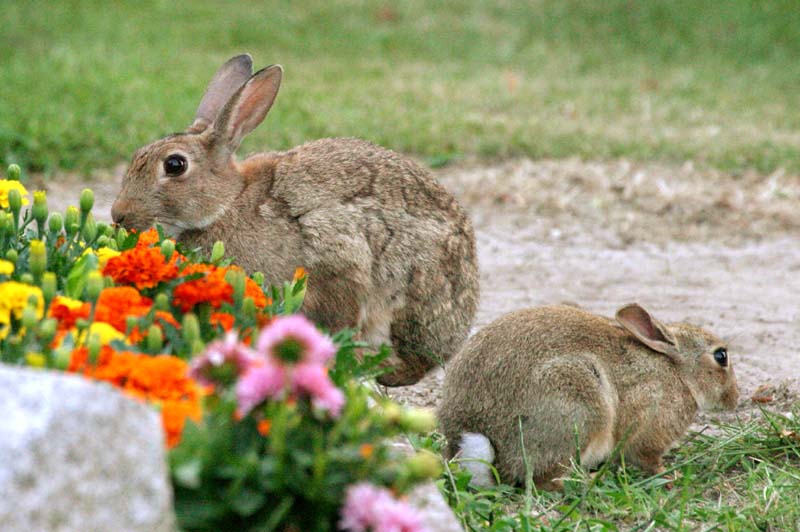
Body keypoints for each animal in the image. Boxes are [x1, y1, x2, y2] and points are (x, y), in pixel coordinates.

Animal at [438, 304, 736, 490]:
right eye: (721, 356)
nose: (734, 398)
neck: (678, 371)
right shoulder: (648, 427)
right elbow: (647, 458)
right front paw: (671, 475)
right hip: (580, 406)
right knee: (543, 480)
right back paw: (587, 482)